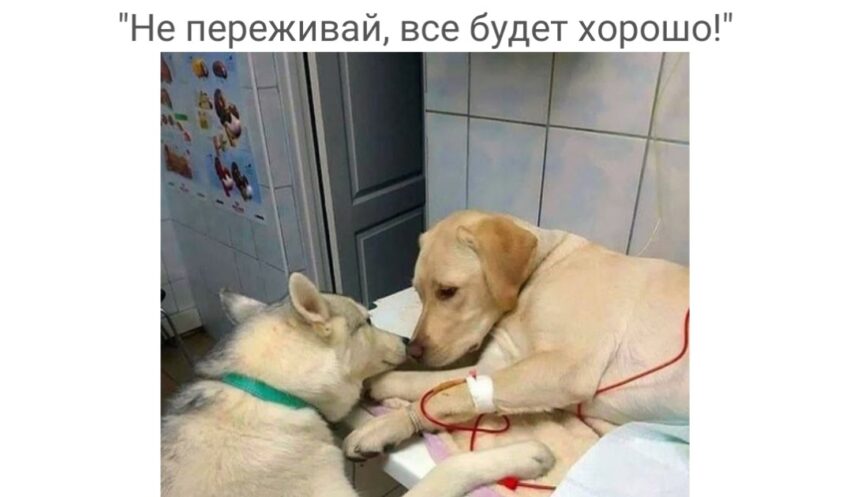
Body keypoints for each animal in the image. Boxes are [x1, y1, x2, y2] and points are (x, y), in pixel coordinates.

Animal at [162, 272, 556, 496]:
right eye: (367, 320)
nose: (405, 342)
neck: (269, 391)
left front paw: (383, 423)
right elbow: (451, 467)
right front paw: (525, 454)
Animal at [342, 208, 684, 458]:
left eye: (447, 291)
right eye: (418, 292)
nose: (413, 350)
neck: (538, 274)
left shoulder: (565, 368)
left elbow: (443, 396)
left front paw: (384, 426)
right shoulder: (495, 365)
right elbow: (427, 385)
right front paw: (379, 383)